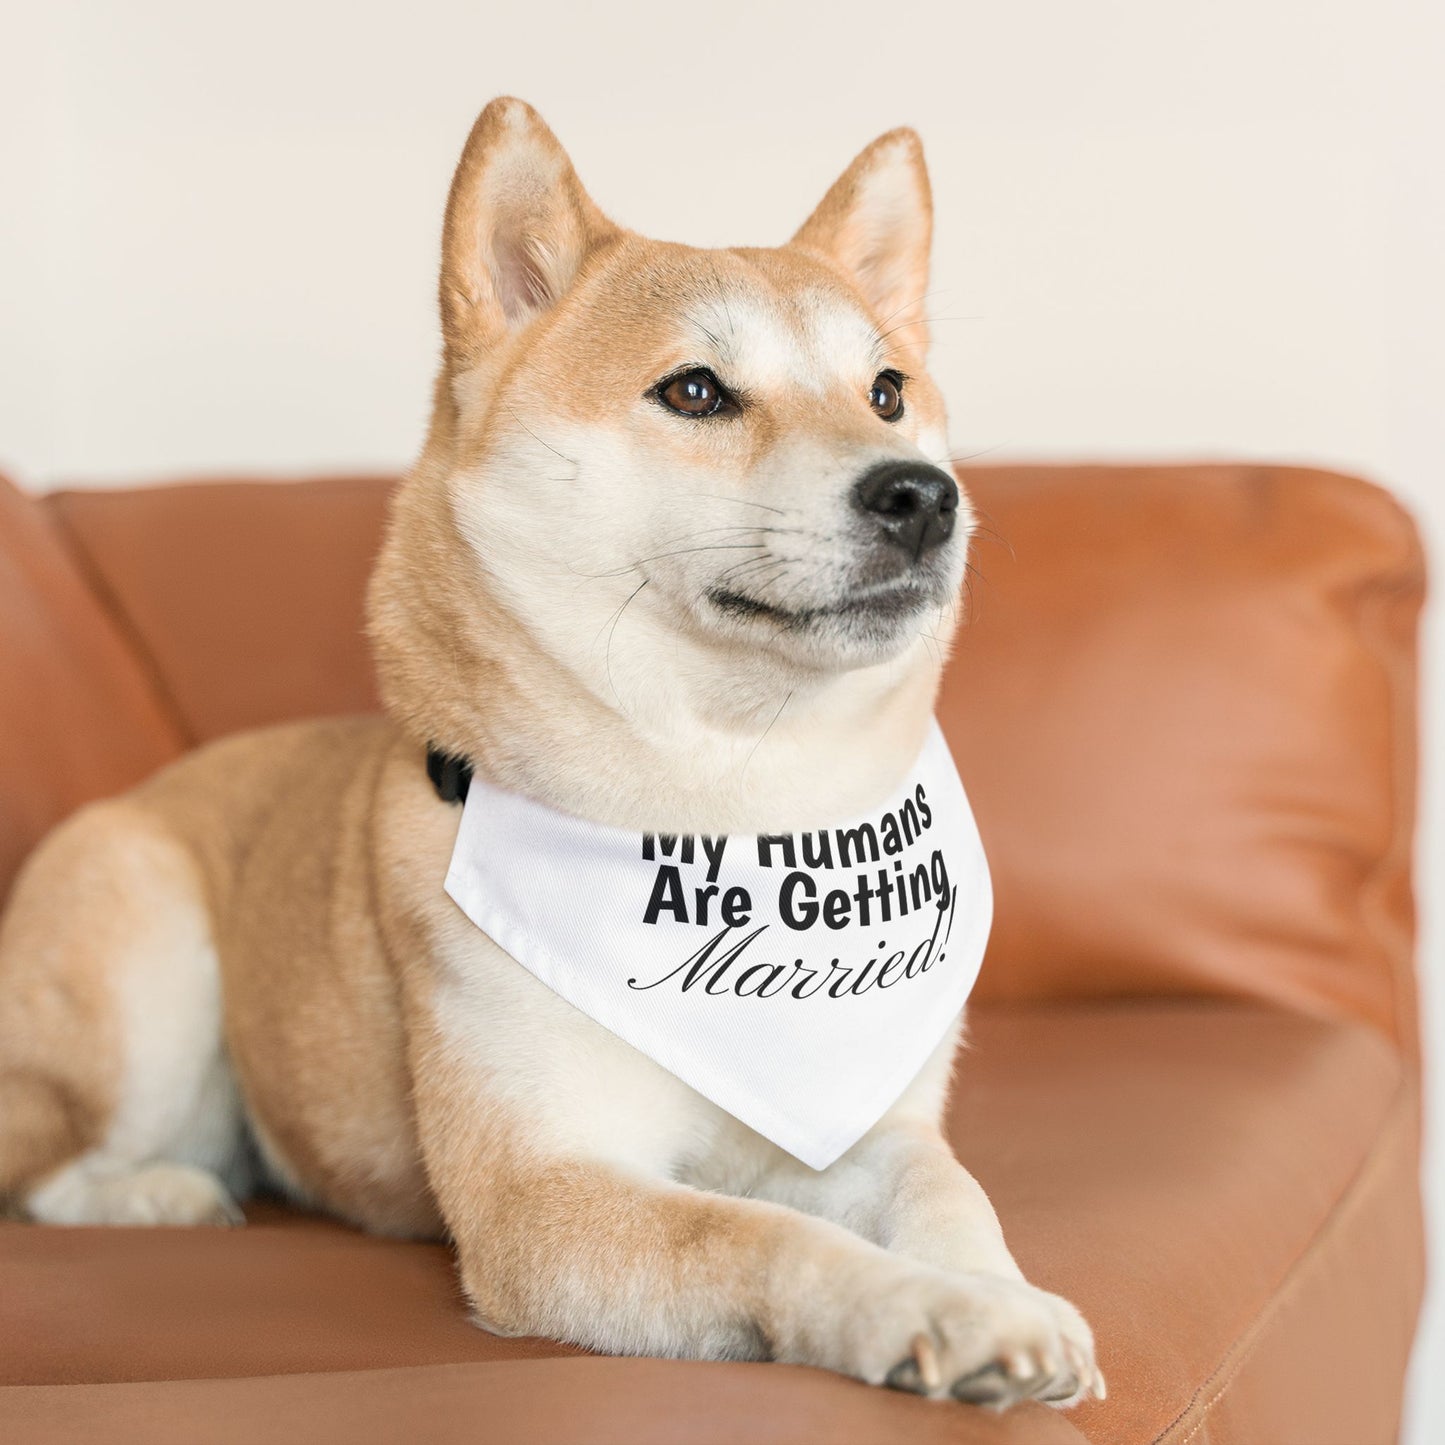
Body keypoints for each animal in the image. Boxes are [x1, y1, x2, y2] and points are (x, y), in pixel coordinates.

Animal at [0, 96, 1098, 1404]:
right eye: (694, 391)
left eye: (886, 390)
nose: (923, 495)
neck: (733, 806)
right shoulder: (541, 1193)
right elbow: (764, 1234)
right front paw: (927, 1307)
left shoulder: (870, 1122)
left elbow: (948, 1190)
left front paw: (1000, 1291)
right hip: (145, 963)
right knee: (47, 1165)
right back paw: (162, 1192)